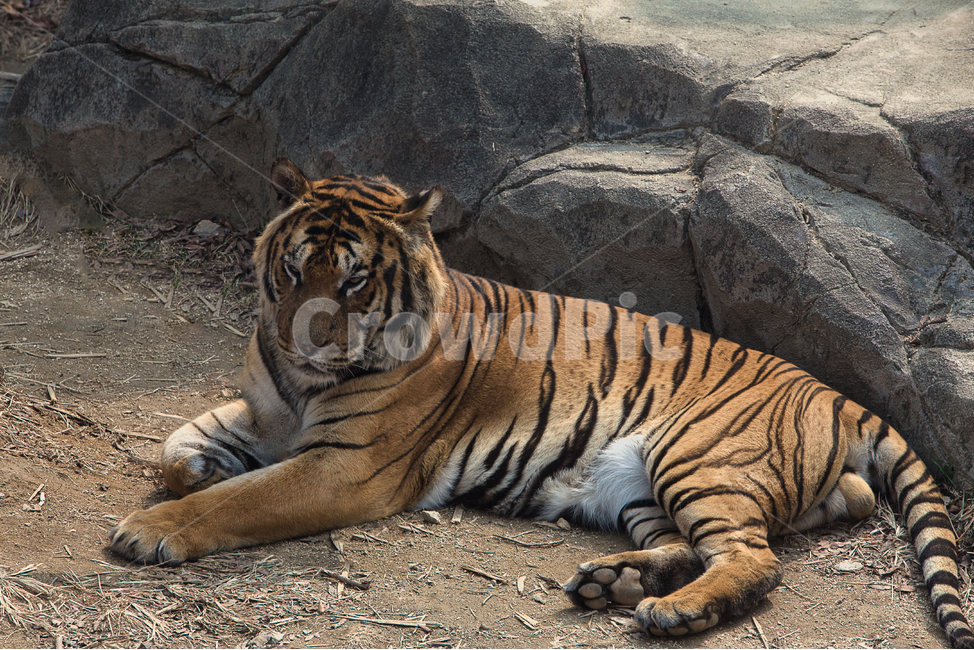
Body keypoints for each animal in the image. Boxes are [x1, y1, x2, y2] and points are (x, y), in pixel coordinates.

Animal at [109, 158, 974, 647]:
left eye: (353, 281)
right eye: (292, 270)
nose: (305, 341)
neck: (302, 384)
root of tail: (833, 393)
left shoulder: (345, 465)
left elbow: (241, 500)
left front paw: (150, 530)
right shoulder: (266, 416)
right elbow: (178, 449)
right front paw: (192, 471)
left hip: (696, 454)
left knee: (752, 559)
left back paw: (669, 614)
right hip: (640, 483)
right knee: (731, 536)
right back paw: (612, 583)